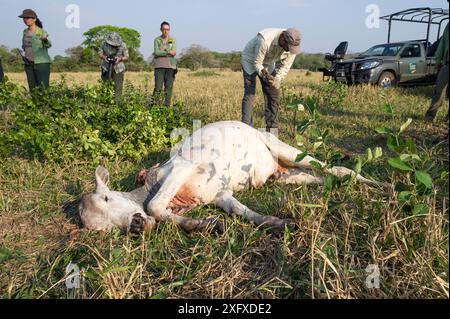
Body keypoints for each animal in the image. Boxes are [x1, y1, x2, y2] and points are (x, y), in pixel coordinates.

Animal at [79, 121, 382, 234]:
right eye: (101, 229)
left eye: (107, 197)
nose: (135, 224)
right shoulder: (219, 194)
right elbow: (242, 211)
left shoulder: (183, 167)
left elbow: (154, 206)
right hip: (283, 175)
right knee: (315, 177)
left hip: (286, 149)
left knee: (335, 169)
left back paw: (381, 185)